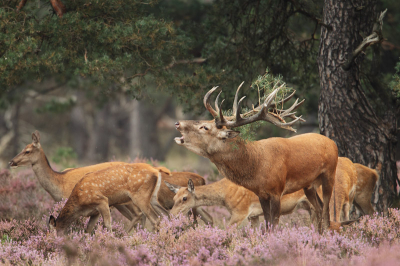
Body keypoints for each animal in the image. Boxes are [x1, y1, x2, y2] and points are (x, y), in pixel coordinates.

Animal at [9, 130, 142, 224]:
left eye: (27, 151)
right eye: (23, 148)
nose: (11, 162)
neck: (59, 184)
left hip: (128, 199)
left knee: (139, 215)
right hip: (119, 202)